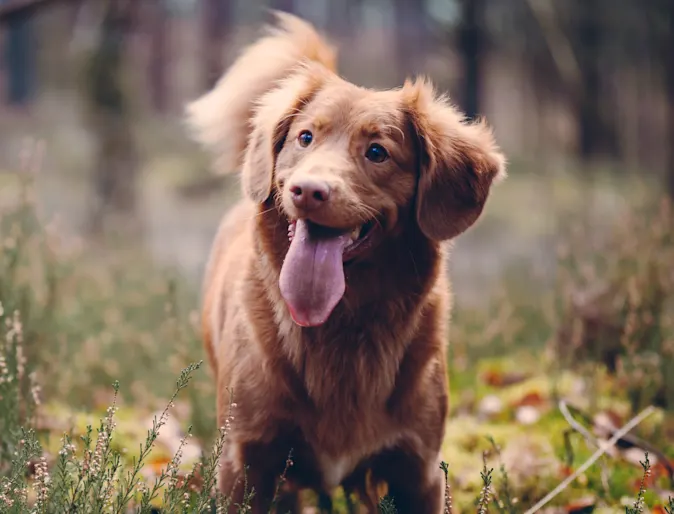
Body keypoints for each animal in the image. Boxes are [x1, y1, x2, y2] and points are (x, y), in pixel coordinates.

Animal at [186, 12, 502, 512]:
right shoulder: (245, 462)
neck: (342, 325)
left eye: (377, 152)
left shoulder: (418, 471)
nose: (308, 190)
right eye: (305, 137)